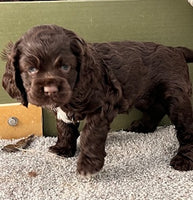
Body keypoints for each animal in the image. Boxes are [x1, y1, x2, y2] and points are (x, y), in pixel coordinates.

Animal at [1, 24, 193, 175]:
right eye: (31, 69)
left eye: (65, 67)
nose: (50, 90)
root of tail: (176, 50)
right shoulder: (63, 111)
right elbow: (64, 127)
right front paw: (63, 149)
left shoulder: (102, 107)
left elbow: (90, 135)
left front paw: (88, 166)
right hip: (144, 94)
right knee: (156, 108)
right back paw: (143, 126)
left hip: (177, 98)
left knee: (186, 128)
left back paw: (183, 160)